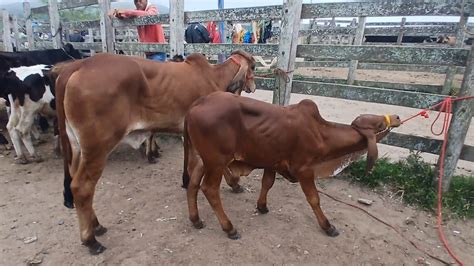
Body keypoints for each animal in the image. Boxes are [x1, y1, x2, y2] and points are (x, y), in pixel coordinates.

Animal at [181, 91, 400, 239]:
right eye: (378, 124)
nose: (396, 116)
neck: (321, 132)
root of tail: (195, 105)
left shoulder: (272, 162)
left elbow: (267, 184)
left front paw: (262, 206)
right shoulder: (304, 169)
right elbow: (314, 199)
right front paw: (327, 226)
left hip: (204, 160)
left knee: (193, 184)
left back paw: (196, 219)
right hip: (217, 162)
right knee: (209, 189)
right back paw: (229, 228)